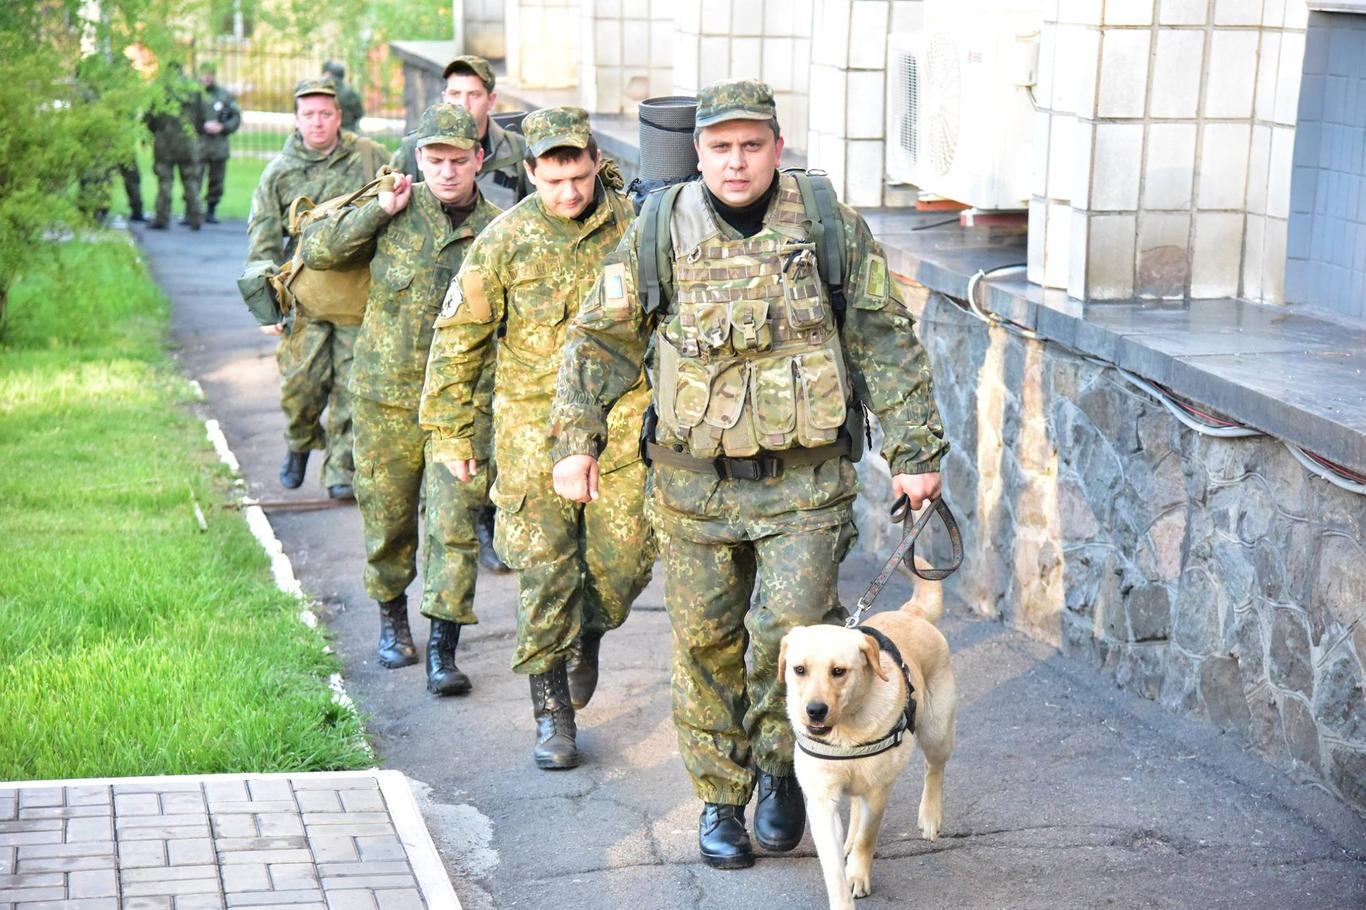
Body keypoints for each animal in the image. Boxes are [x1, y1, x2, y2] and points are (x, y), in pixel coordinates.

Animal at [781, 598, 961, 901]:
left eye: (838, 671)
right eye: (799, 669)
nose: (815, 711)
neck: (847, 730)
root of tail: (910, 612)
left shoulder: (878, 791)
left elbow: (867, 838)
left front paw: (857, 875)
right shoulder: (821, 799)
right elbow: (833, 868)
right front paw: (842, 892)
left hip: (937, 731)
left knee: (934, 767)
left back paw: (930, 815)